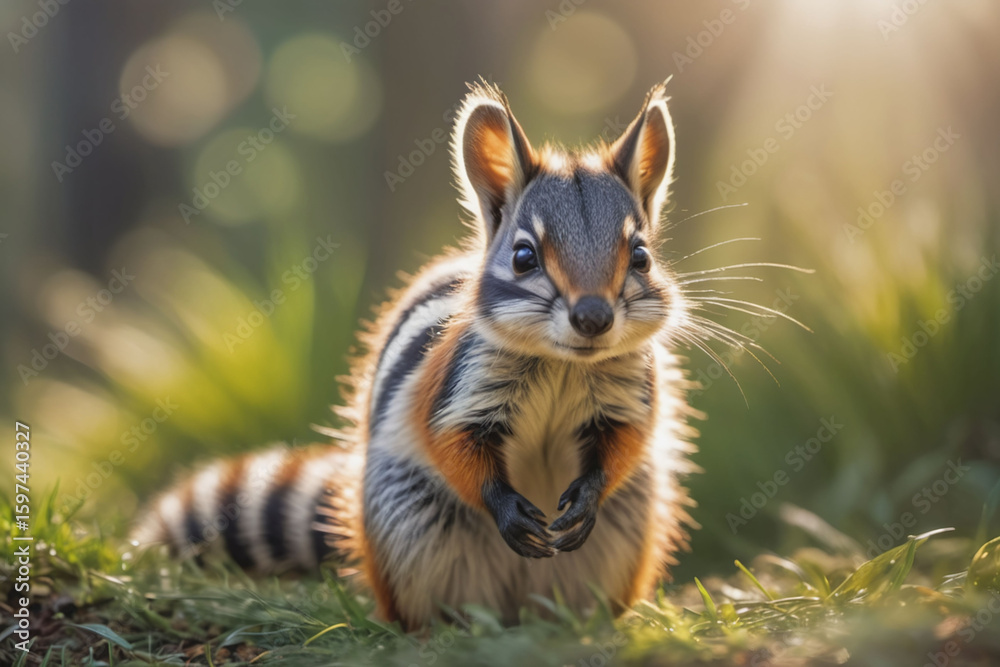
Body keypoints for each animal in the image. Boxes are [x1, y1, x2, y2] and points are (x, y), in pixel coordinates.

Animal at [134, 80, 699, 631]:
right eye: (524, 257)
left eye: (641, 257)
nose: (593, 317)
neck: (564, 365)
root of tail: (518, 601)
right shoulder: (457, 392)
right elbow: (451, 446)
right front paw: (506, 508)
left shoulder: (626, 402)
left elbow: (623, 443)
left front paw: (587, 496)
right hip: (410, 522)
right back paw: (447, 627)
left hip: (629, 522)